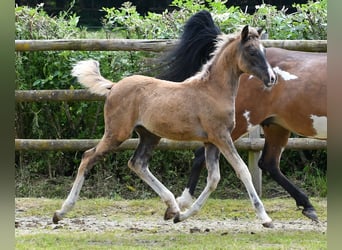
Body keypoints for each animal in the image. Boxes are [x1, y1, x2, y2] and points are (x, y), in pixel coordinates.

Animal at [54, 25, 278, 229]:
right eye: (252, 51)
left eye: (264, 50)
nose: (272, 78)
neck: (213, 90)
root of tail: (114, 86)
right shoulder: (221, 137)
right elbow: (242, 171)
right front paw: (265, 218)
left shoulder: (211, 141)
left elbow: (213, 179)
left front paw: (183, 216)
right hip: (117, 133)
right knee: (88, 157)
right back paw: (61, 212)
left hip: (149, 135)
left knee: (137, 163)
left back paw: (172, 208)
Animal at [162, 10, 328, 221]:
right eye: (252, 52)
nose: (271, 78)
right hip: (238, 124)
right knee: (201, 155)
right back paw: (183, 202)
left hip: (275, 126)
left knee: (268, 163)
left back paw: (307, 205)